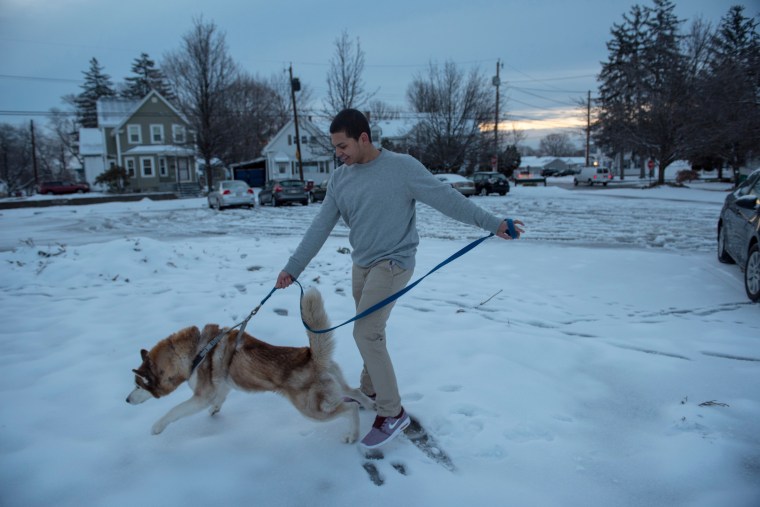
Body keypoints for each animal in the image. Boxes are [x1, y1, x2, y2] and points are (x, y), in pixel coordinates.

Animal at [126, 288, 376, 442]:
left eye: (138, 385)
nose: (126, 400)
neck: (196, 351)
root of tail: (311, 354)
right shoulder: (222, 385)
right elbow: (219, 399)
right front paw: (215, 410)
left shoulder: (200, 397)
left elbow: (174, 411)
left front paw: (157, 427)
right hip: (335, 385)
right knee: (355, 393)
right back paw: (371, 406)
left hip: (310, 409)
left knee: (350, 408)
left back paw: (353, 435)